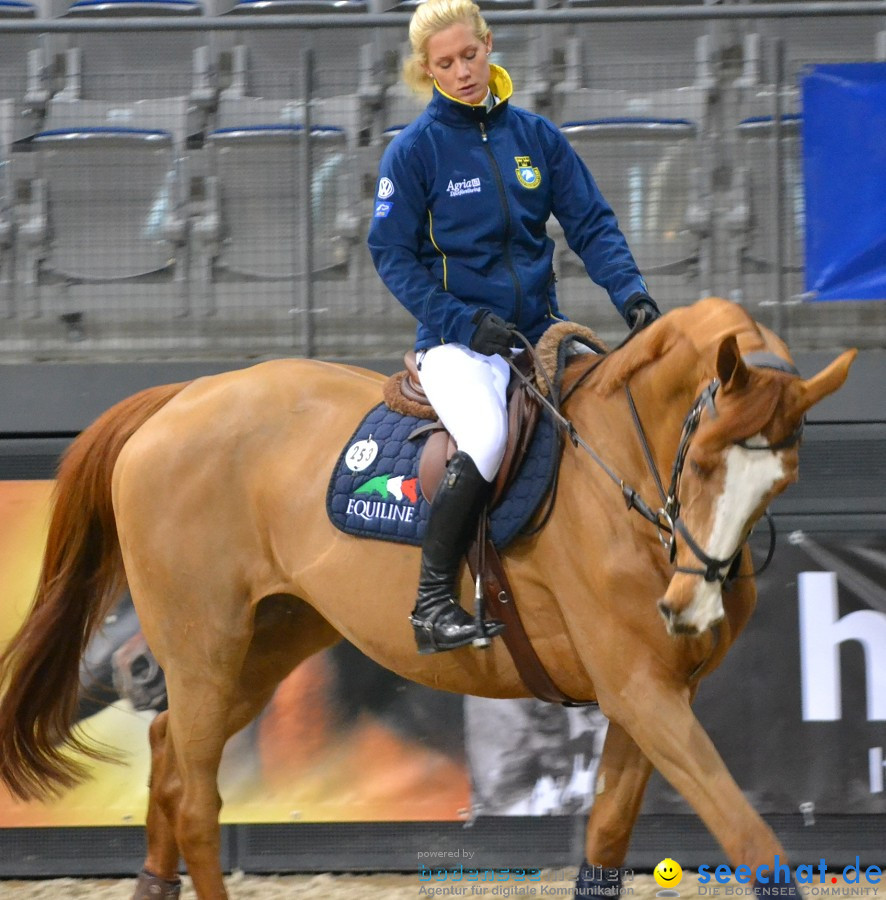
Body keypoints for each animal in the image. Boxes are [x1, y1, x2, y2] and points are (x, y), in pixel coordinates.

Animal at [0, 298, 860, 900]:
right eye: (705, 460)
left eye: (779, 479)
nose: (691, 607)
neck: (617, 476)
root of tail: (181, 396)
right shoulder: (640, 691)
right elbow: (751, 842)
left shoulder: (650, 694)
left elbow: (607, 840)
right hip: (204, 648)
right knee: (196, 800)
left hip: (268, 642)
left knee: (171, 756)